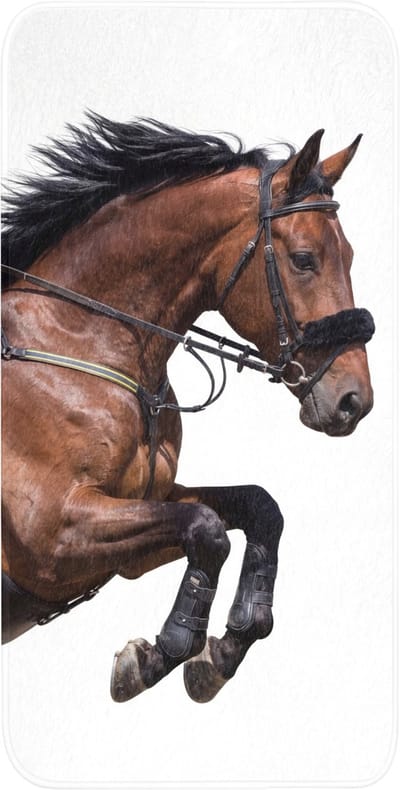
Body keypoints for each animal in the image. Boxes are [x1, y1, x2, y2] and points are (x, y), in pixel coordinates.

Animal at [1, 114, 374, 703]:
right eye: (304, 260)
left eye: (352, 256)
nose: (354, 400)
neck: (81, 338)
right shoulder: (51, 537)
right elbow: (208, 529)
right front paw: (160, 653)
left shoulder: (130, 531)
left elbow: (257, 507)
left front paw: (222, 650)